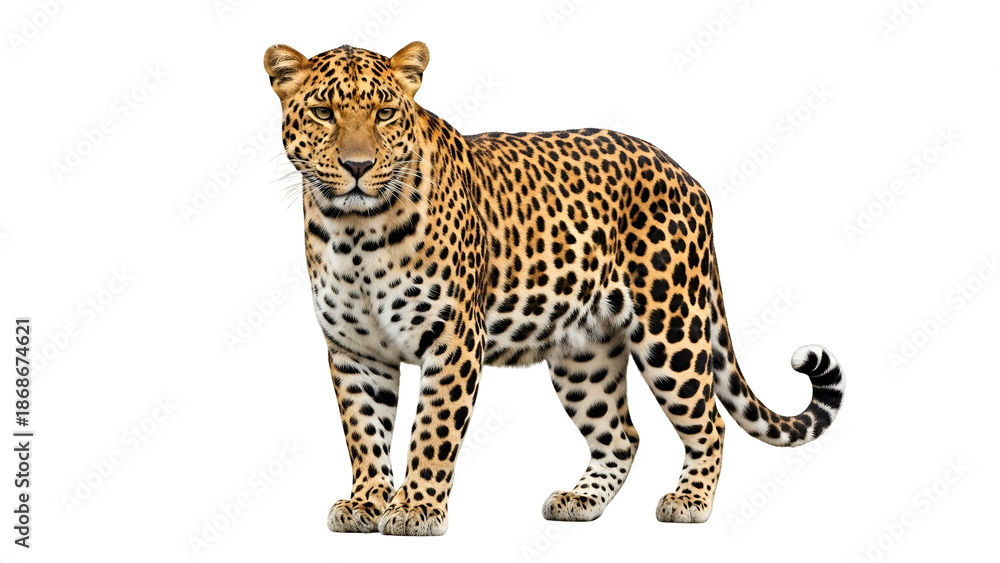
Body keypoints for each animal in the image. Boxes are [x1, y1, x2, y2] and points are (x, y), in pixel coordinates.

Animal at [263, 41, 845, 536]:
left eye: (384, 113)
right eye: (323, 113)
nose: (357, 166)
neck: (354, 232)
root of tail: (687, 176)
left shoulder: (452, 339)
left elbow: (432, 429)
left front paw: (416, 509)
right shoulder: (355, 350)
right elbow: (364, 430)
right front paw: (365, 502)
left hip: (672, 330)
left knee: (710, 422)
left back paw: (689, 501)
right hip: (584, 354)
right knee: (621, 435)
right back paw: (580, 500)